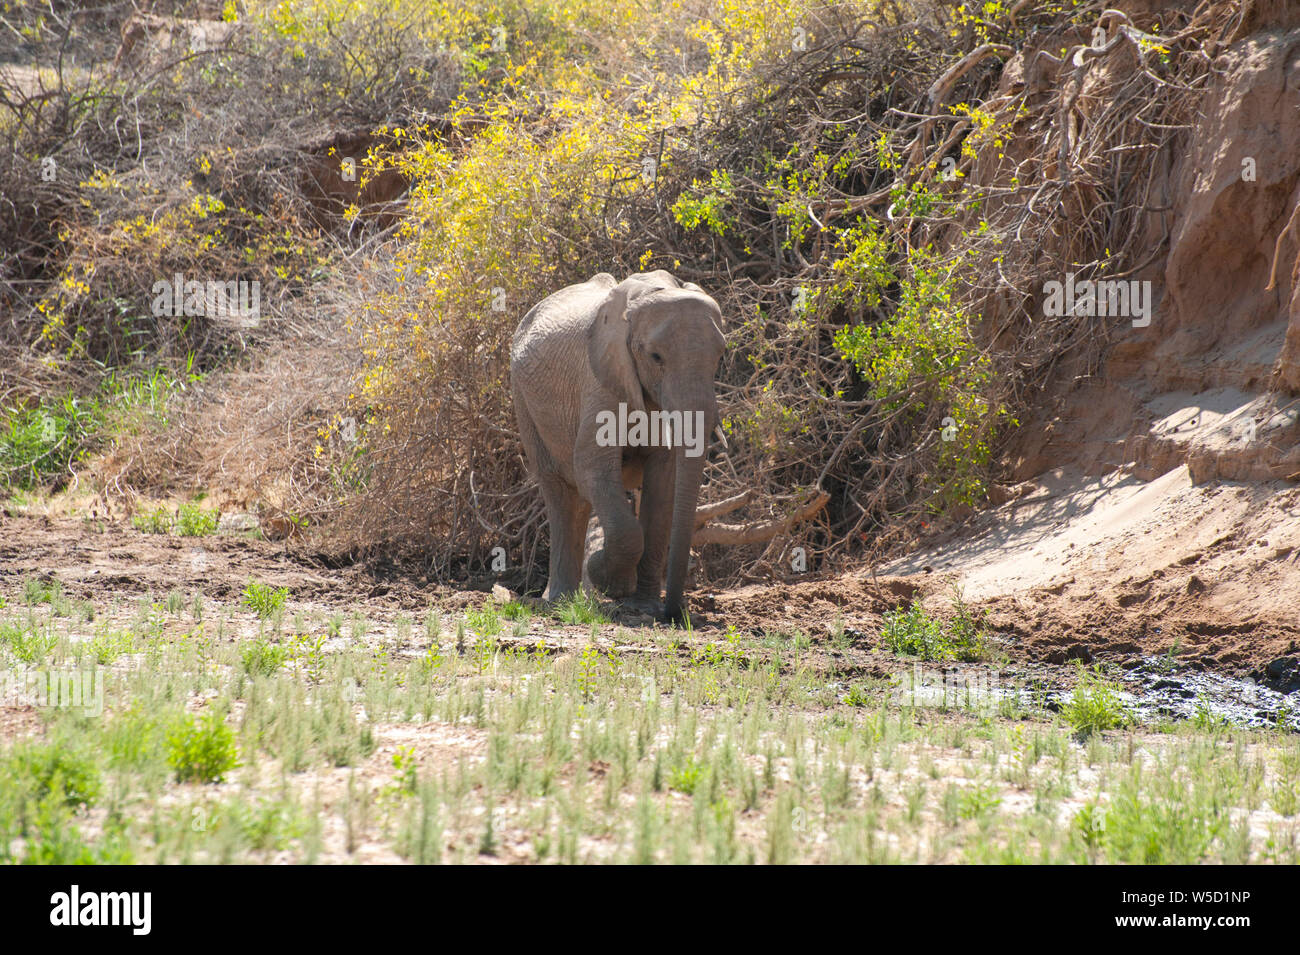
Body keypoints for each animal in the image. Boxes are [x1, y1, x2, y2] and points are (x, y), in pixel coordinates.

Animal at [512, 270, 728, 628]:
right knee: (560, 491)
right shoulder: (602, 382)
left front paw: (644, 607)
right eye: (655, 357)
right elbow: (592, 469)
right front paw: (613, 583)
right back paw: (559, 602)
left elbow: (663, 485)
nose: (674, 614)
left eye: (720, 357)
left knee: (579, 500)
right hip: (523, 402)